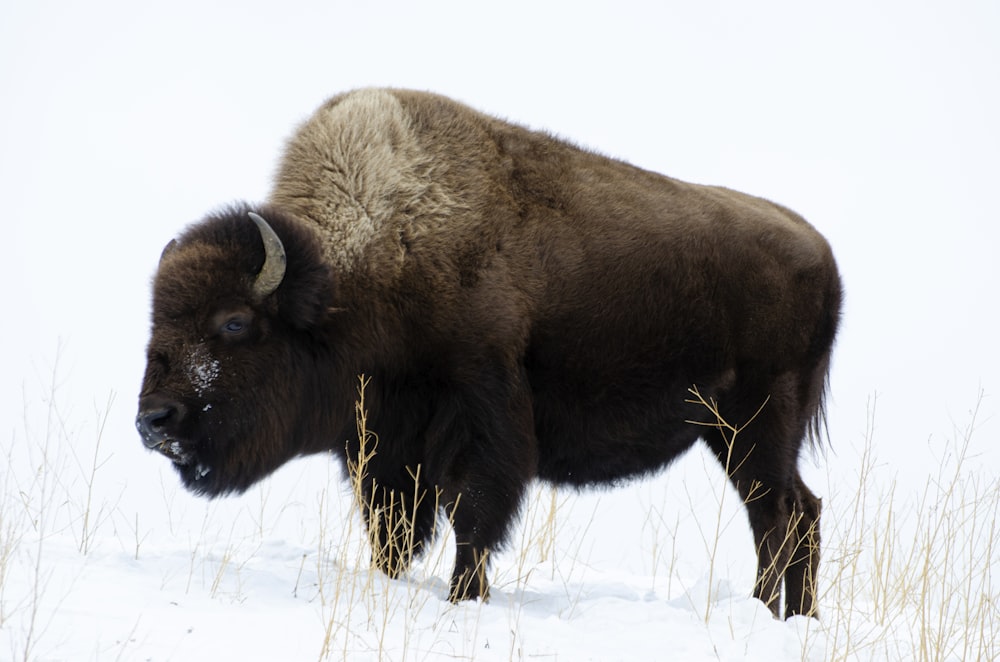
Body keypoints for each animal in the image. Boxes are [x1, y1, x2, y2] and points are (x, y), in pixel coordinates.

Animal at [137, 85, 840, 620]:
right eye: (157, 318)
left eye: (234, 323)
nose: (153, 420)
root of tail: (822, 251)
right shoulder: (384, 447)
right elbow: (393, 532)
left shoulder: (481, 419)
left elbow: (473, 518)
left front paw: (463, 600)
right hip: (731, 432)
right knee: (796, 512)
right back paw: (792, 618)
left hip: (757, 422)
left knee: (777, 515)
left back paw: (767, 614)